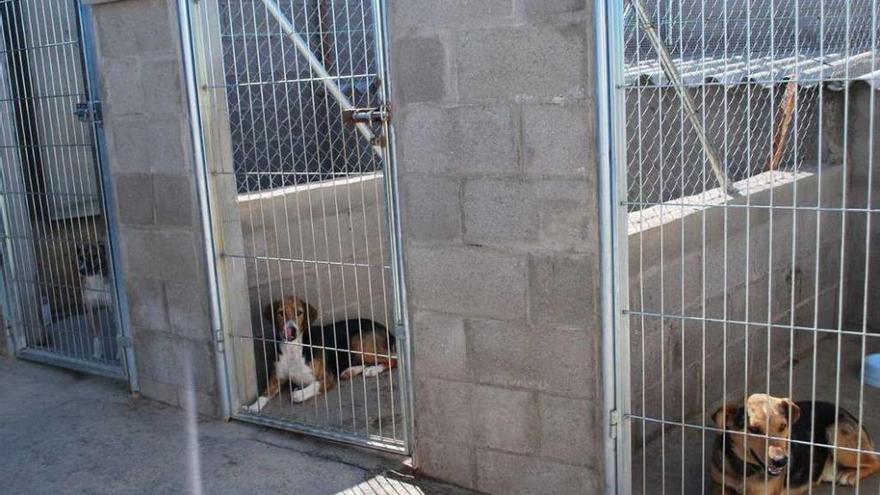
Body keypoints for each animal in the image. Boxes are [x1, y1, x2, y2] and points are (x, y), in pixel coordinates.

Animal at [248, 296, 398, 412]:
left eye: (299, 312)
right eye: (280, 313)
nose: (291, 330)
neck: (293, 348)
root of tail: (386, 330)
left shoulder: (327, 379)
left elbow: (301, 392)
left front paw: (298, 392)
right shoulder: (277, 378)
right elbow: (264, 393)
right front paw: (253, 406)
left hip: (358, 342)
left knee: (393, 359)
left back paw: (373, 370)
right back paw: (349, 371)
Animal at [712, 394, 876, 494]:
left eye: (783, 426)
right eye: (753, 429)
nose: (781, 461)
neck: (743, 470)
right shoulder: (720, 486)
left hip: (835, 432)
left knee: (875, 462)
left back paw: (850, 474)